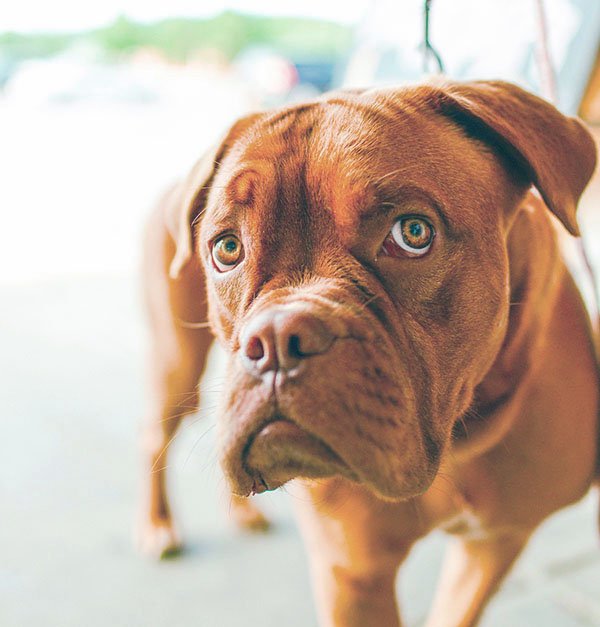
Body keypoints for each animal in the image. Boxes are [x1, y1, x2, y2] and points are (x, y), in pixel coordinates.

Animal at [138, 81, 596, 624]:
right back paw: (159, 527)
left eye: (413, 233)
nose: (278, 338)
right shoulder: (353, 572)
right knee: (155, 436)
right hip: (177, 364)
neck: (458, 439)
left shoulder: (494, 542)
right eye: (227, 249)